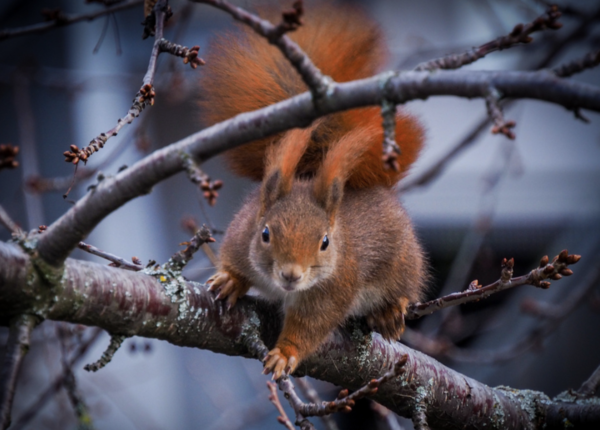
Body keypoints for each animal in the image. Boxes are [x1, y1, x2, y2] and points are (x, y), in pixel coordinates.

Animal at [200, 4, 426, 380]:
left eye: (325, 242)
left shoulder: (332, 291)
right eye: (265, 234)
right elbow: (234, 262)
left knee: (406, 285)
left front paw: (285, 353)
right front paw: (230, 280)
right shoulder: (240, 235)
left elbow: (310, 326)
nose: (291, 274)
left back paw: (391, 311)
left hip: (404, 260)